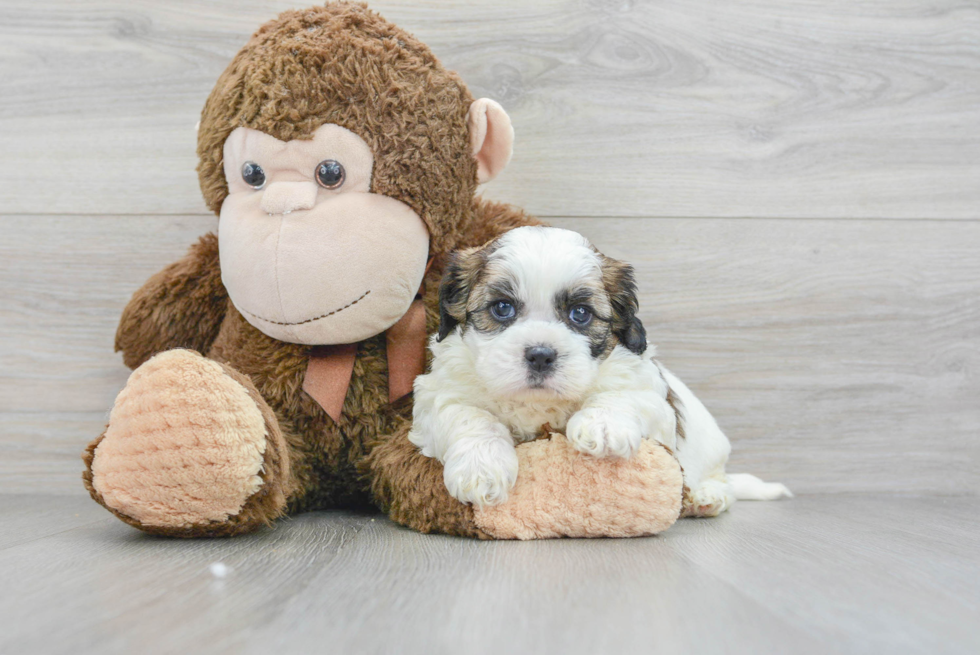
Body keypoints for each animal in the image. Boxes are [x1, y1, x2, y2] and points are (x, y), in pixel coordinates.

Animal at [410, 228, 792, 516]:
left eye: (580, 313)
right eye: (501, 308)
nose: (540, 355)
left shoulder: (649, 394)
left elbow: (622, 395)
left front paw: (603, 425)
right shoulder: (437, 395)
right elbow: (469, 416)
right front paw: (481, 467)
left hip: (711, 451)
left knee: (721, 481)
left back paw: (707, 497)